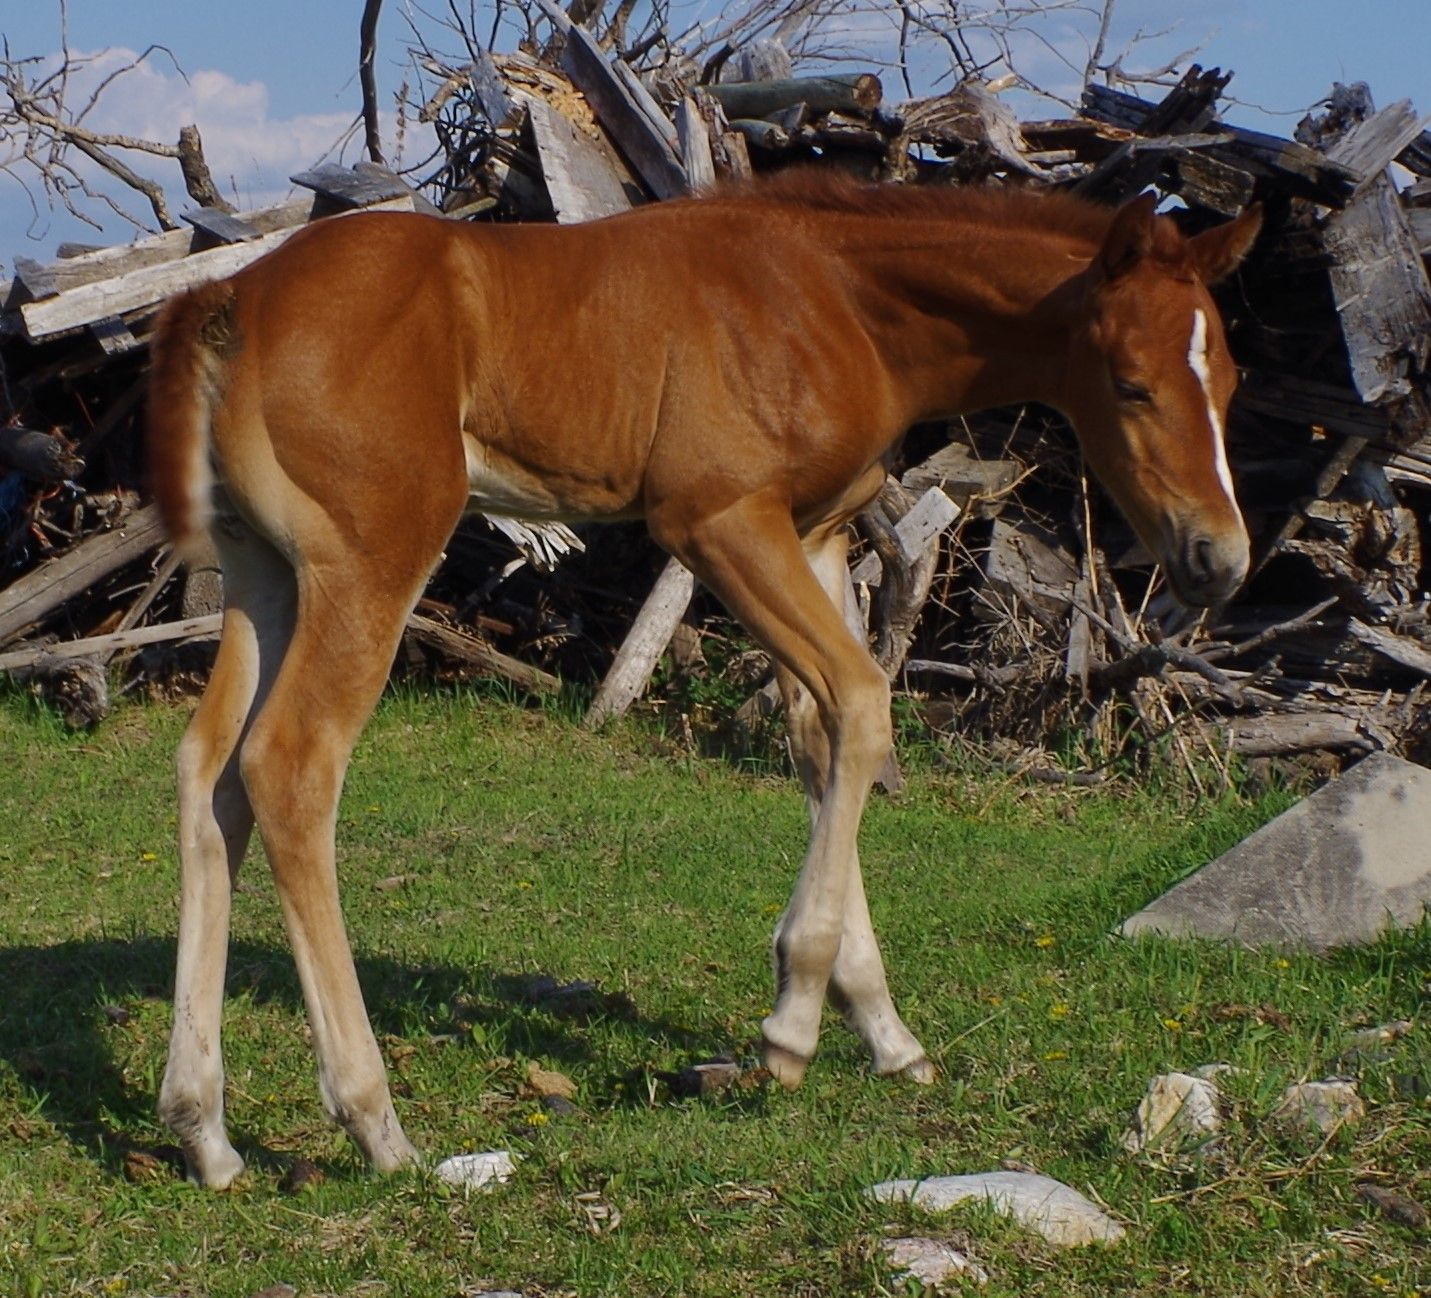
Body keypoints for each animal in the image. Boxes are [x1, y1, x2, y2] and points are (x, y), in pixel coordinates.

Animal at [146, 173, 1261, 1187]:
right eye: (1129, 381)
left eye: (1231, 381)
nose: (1219, 560)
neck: (841, 298)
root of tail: (232, 298)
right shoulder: (716, 522)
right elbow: (864, 703)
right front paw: (792, 1023)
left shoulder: (811, 531)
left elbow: (823, 737)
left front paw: (882, 1028)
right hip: (372, 557)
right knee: (292, 766)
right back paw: (373, 1121)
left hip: (264, 574)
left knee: (212, 776)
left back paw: (205, 1130)